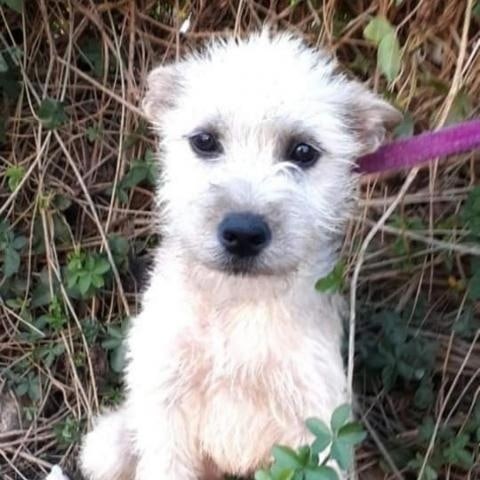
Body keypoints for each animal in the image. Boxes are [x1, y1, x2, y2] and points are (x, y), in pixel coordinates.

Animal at [79, 31, 402, 480]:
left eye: (303, 152)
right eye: (205, 141)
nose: (244, 234)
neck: (236, 305)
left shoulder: (316, 427)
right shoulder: (164, 408)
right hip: (108, 444)